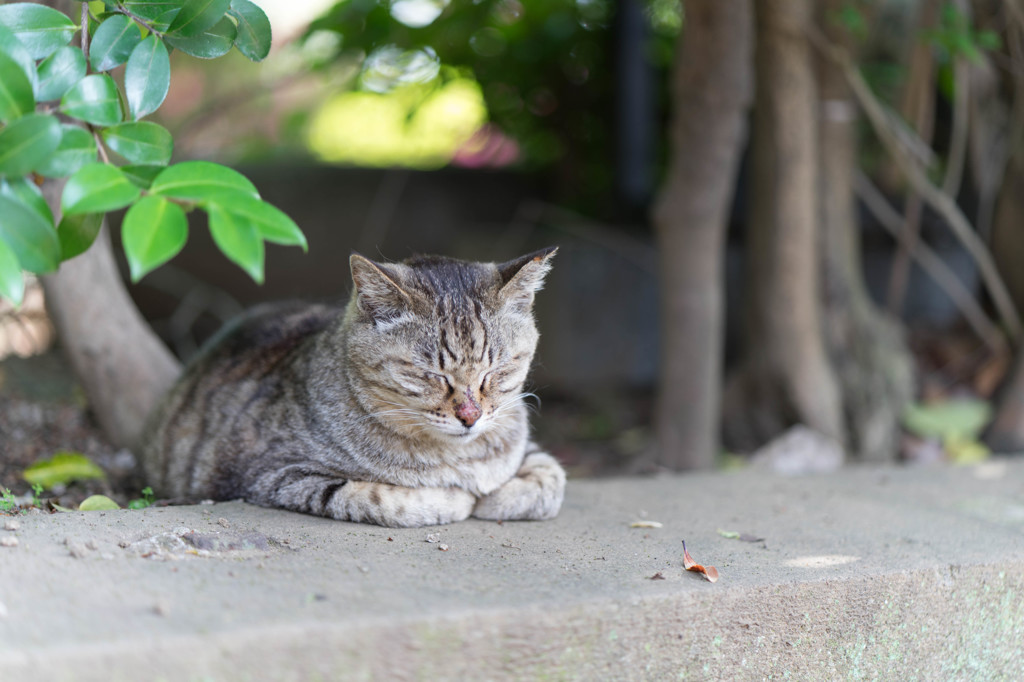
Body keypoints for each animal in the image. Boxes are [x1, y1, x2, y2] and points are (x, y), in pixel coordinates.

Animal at [137, 248, 569, 524]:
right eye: (431, 374)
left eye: (495, 371)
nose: (470, 416)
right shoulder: (275, 476)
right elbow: (384, 497)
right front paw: (458, 498)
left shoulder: (522, 442)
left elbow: (550, 477)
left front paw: (496, 496)